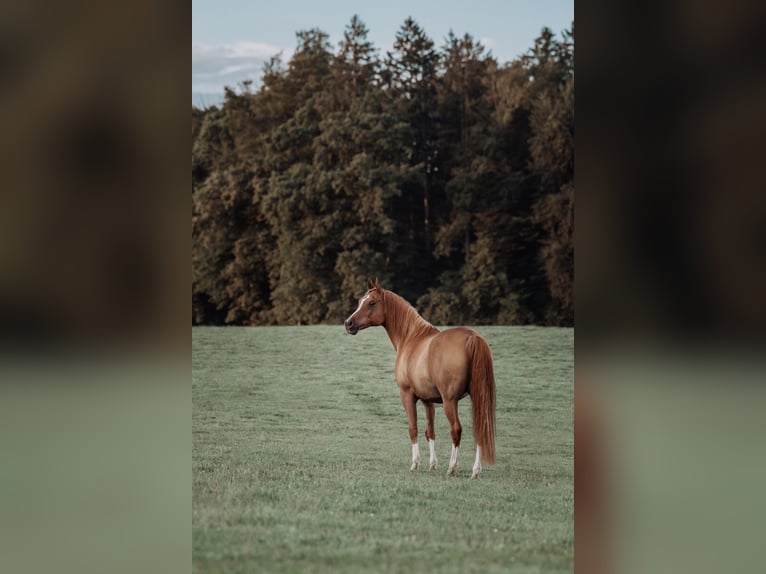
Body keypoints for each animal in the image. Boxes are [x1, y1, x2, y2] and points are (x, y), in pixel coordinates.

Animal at [346, 278, 498, 476]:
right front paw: (432, 464)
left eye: (371, 302)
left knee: (456, 429)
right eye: (360, 302)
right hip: (477, 397)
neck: (411, 338)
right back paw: (475, 470)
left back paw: (452, 467)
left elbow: (413, 428)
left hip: (450, 401)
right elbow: (429, 431)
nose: (348, 323)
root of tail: (472, 337)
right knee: (480, 429)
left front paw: (415, 463)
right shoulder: (428, 400)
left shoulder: (407, 395)